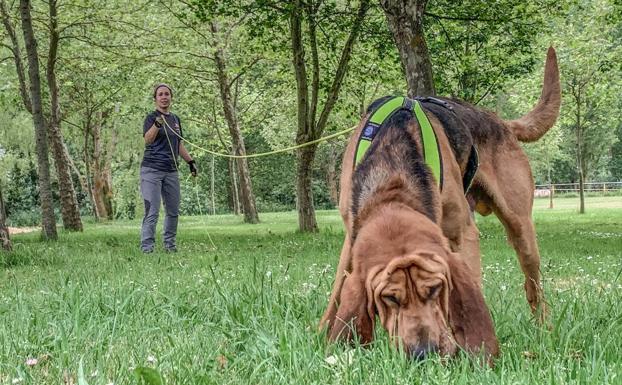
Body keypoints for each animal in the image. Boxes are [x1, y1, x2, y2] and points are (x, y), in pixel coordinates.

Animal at [322, 46, 564, 358]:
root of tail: (499, 120)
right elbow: (337, 295)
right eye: (389, 298)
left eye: (436, 289)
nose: (423, 353)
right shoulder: (350, 236)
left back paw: (544, 330)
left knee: (533, 286)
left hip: (521, 229)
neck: (393, 177)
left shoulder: (463, 234)